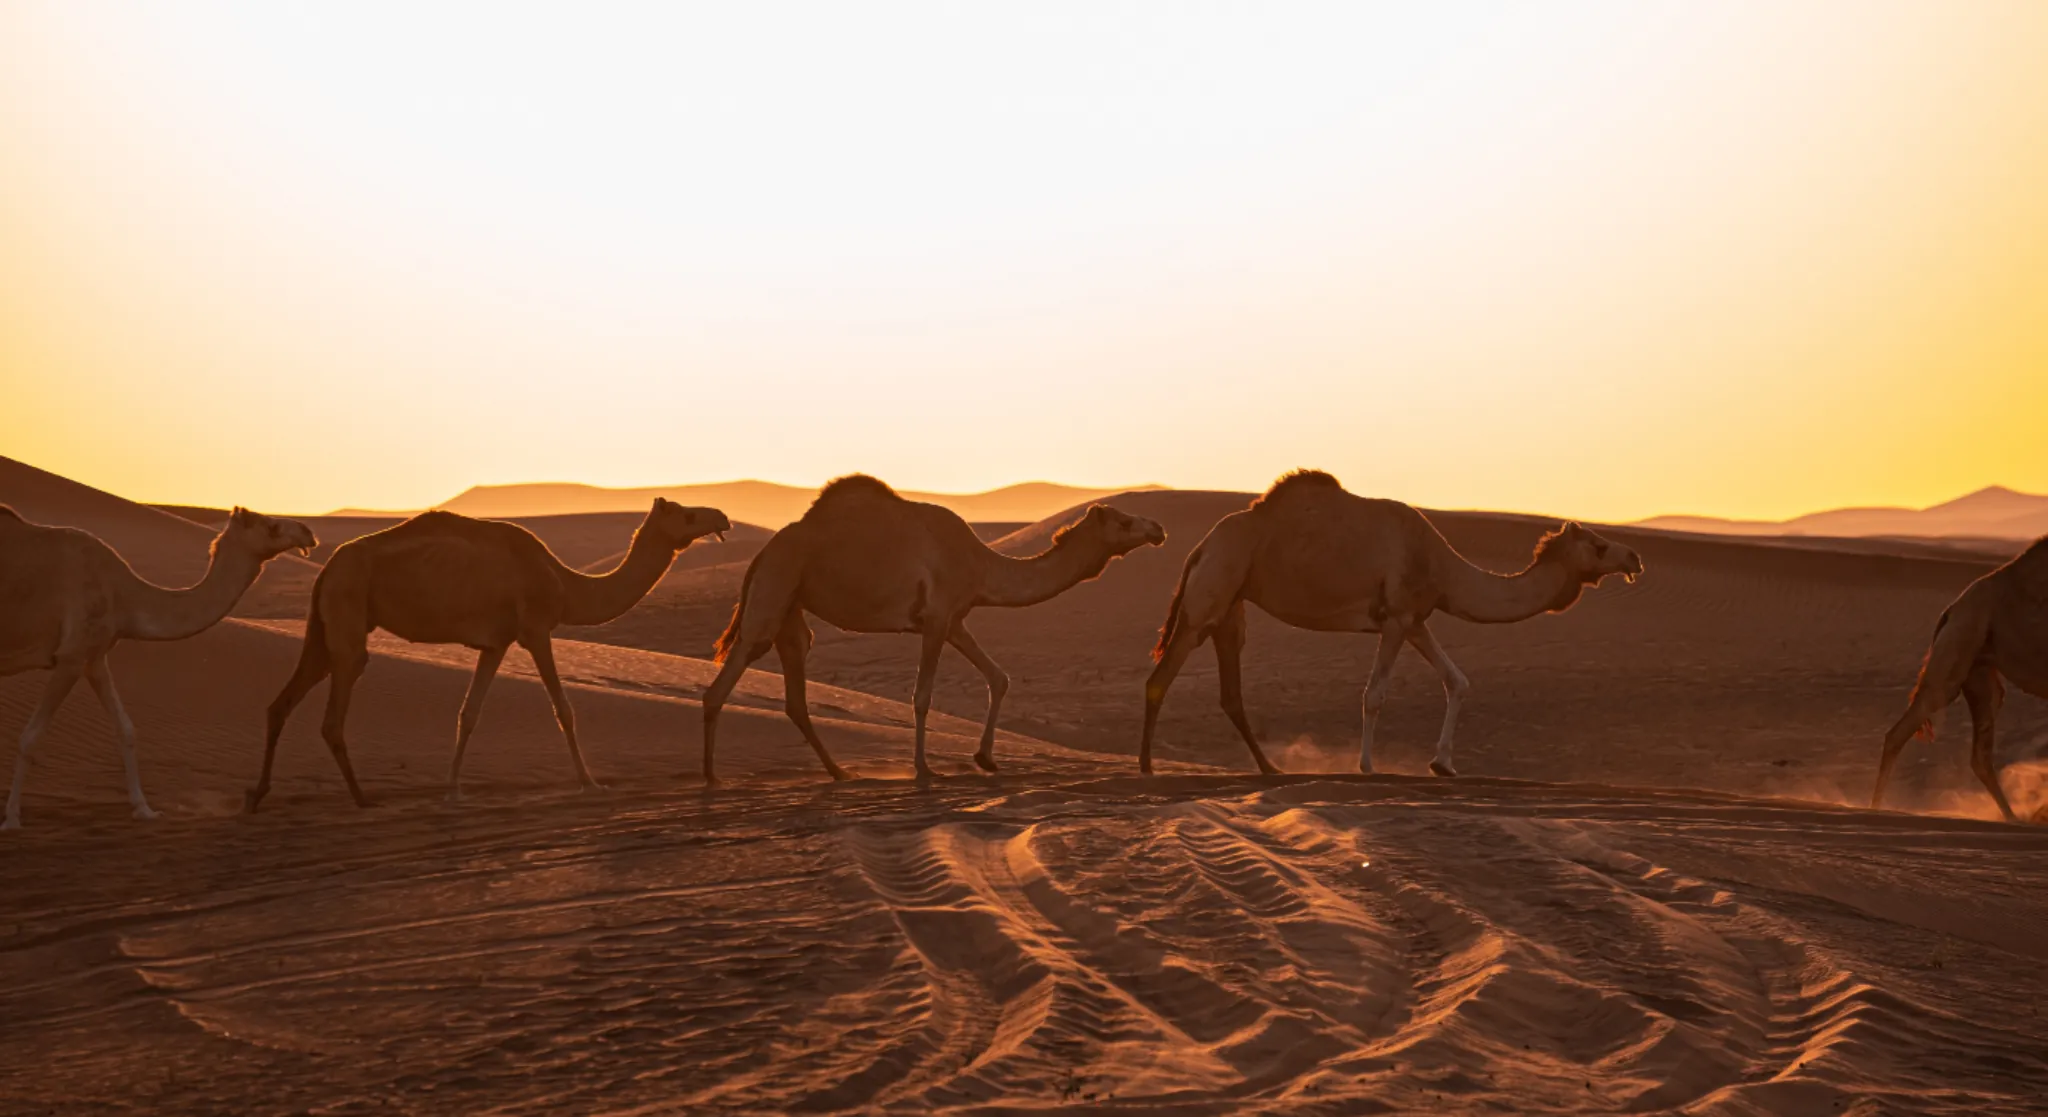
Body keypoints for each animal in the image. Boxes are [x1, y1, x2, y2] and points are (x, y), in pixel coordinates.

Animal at [2, 505, 316, 829]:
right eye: (270, 525)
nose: (308, 531)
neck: (124, 595)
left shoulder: (94, 656)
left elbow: (126, 729)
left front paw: (144, 809)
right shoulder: (71, 655)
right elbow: (30, 737)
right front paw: (12, 818)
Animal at [246, 498, 729, 809]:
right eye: (688, 514)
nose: (722, 516)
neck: (566, 583)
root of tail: (326, 567)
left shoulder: (496, 643)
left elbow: (469, 712)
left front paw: (452, 789)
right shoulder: (535, 629)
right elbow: (563, 708)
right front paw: (591, 784)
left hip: (325, 624)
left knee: (281, 702)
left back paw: (258, 794)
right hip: (348, 611)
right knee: (334, 710)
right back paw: (362, 798)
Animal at [701, 475, 1165, 784]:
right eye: (1124, 523)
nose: (1158, 529)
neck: (981, 564)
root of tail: (762, 553)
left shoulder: (955, 620)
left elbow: (999, 677)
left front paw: (986, 759)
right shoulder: (937, 618)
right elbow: (922, 696)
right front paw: (924, 768)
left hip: (791, 608)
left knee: (795, 690)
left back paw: (840, 772)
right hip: (775, 588)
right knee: (724, 681)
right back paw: (710, 778)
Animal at [1142, 470, 1644, 777]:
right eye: (1599, 546)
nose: (1634, 557)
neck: (1443, 567)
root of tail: (1199, 547)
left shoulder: (1417, 619)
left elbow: (1457, 680)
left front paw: (1443, 764)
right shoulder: (1396, 619)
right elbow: (1375, 694)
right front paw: (1367, 765)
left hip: (1231, 605)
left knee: (1231, 691)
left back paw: (1269, 768)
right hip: (1212, 590)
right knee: (1161, 677)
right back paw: (1146, 767)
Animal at [1872, 535, 2048, 823]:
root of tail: (1951, 609)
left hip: (1980, 673)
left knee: (1980, 754)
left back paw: (2013, 817)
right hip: (1958, 652)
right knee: (1900, 731)